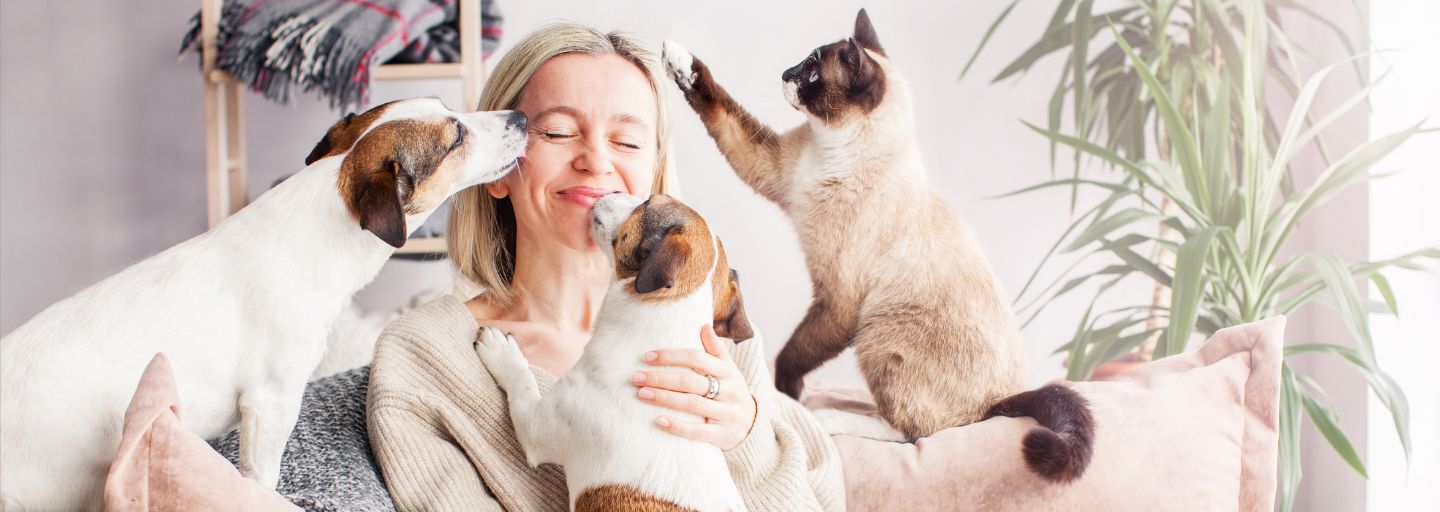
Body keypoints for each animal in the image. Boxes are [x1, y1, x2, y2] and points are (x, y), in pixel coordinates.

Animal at [662, 8, 1088, 483]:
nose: (785, 74)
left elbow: (790, 358)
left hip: (878, 332)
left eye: (812, 73)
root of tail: (997, 403)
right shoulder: (770, 168)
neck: (828, 152)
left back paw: (830, 417)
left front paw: (788, 397)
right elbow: (720, 107)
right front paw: (677, 59)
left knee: (914, 432)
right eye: (802, 63)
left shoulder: (837, 301)